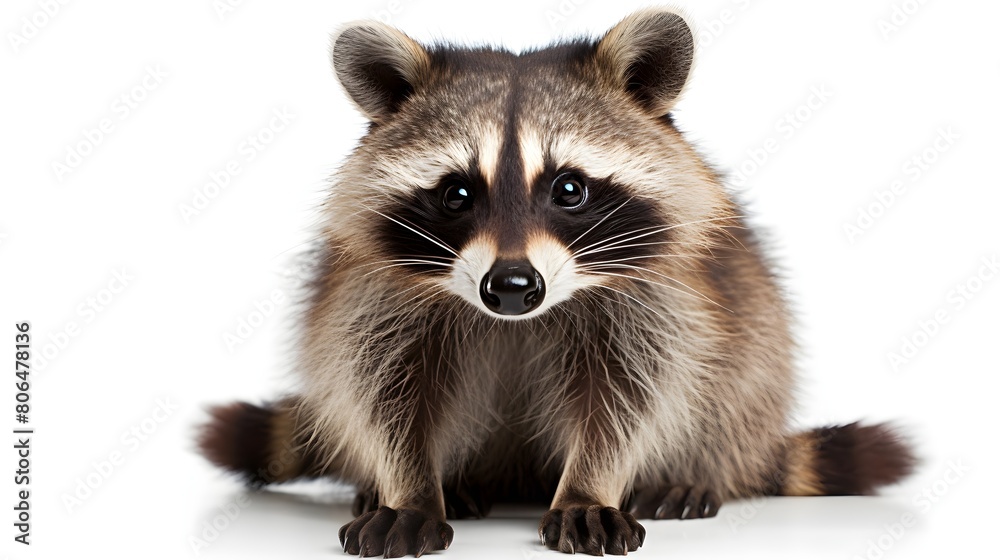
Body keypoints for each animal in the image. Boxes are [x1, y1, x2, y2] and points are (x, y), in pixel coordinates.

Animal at [198, 9, 915, 557]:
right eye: (458, 193)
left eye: (569, 189)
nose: (513, 285)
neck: (519, 316)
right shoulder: (377, 293)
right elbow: (381, 385)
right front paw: (409, 487)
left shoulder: (655, 295)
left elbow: (631, 394)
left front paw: (590, 487)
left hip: (753, 360)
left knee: (740, 378)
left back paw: (691, 472)